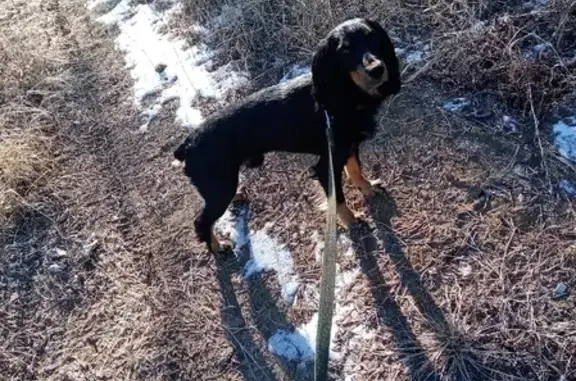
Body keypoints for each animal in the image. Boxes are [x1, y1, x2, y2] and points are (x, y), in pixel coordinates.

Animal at [176, 19, 400, 254]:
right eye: (345, 50)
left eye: (372, 37)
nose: (377, 69)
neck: (340, 98)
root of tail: (187, 145)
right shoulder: (326, 165)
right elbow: (338, 199)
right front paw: (352, 221)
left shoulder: (348, 147)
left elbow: (356, 170)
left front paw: (368, 188)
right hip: (220, 187)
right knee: (201, 221)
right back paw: (217, 247)